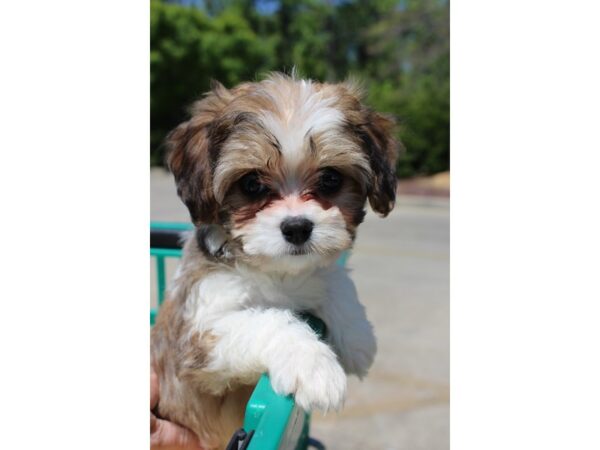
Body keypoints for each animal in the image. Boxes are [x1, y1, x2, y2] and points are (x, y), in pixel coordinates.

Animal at [151, 72, 398, 448]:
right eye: (251, 183)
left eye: (330, 179)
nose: (297, 228)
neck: (276, 273)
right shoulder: (196, 333)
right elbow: (269, 320)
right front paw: (315, 367)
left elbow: (334, 279)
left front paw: (358, 338)